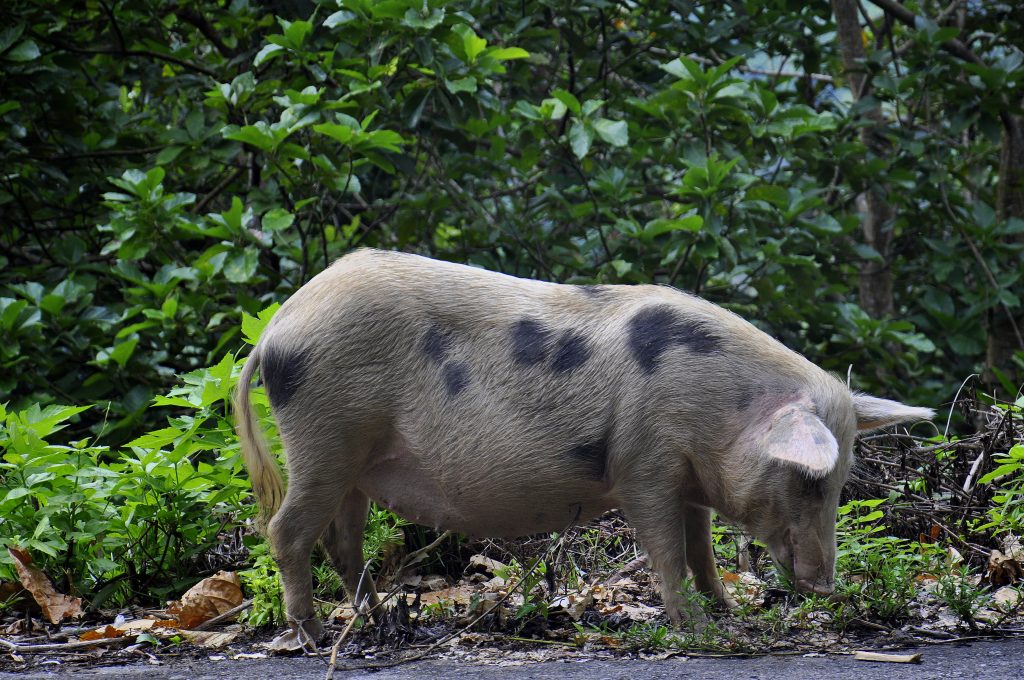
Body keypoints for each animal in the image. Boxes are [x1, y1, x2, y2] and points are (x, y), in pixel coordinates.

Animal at [232, 248, 937, 643]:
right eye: (809, 479)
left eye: (840, 481)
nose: (825, 586)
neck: (717, 411)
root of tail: (276, 329)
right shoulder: (643, 465)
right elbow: (666, 550)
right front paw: (696, 629)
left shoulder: (689, 479)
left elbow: (703, 549)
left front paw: (727, 610)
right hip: (326, 437)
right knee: (287, 530)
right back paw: (312, 634)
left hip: (354, 459)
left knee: (341, 540)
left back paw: (376, 620)